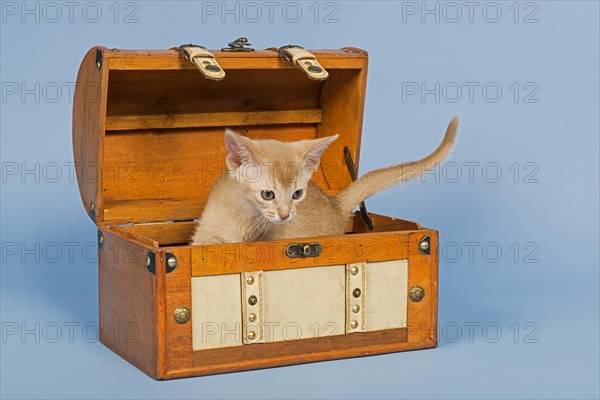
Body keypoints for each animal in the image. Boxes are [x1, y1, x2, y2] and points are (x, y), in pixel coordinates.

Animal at [192, 117, 460, 245]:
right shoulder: (204, 237)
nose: (285, 215)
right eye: (268, 194)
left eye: (297, 194)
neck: (244, 217)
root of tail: (335, 203)